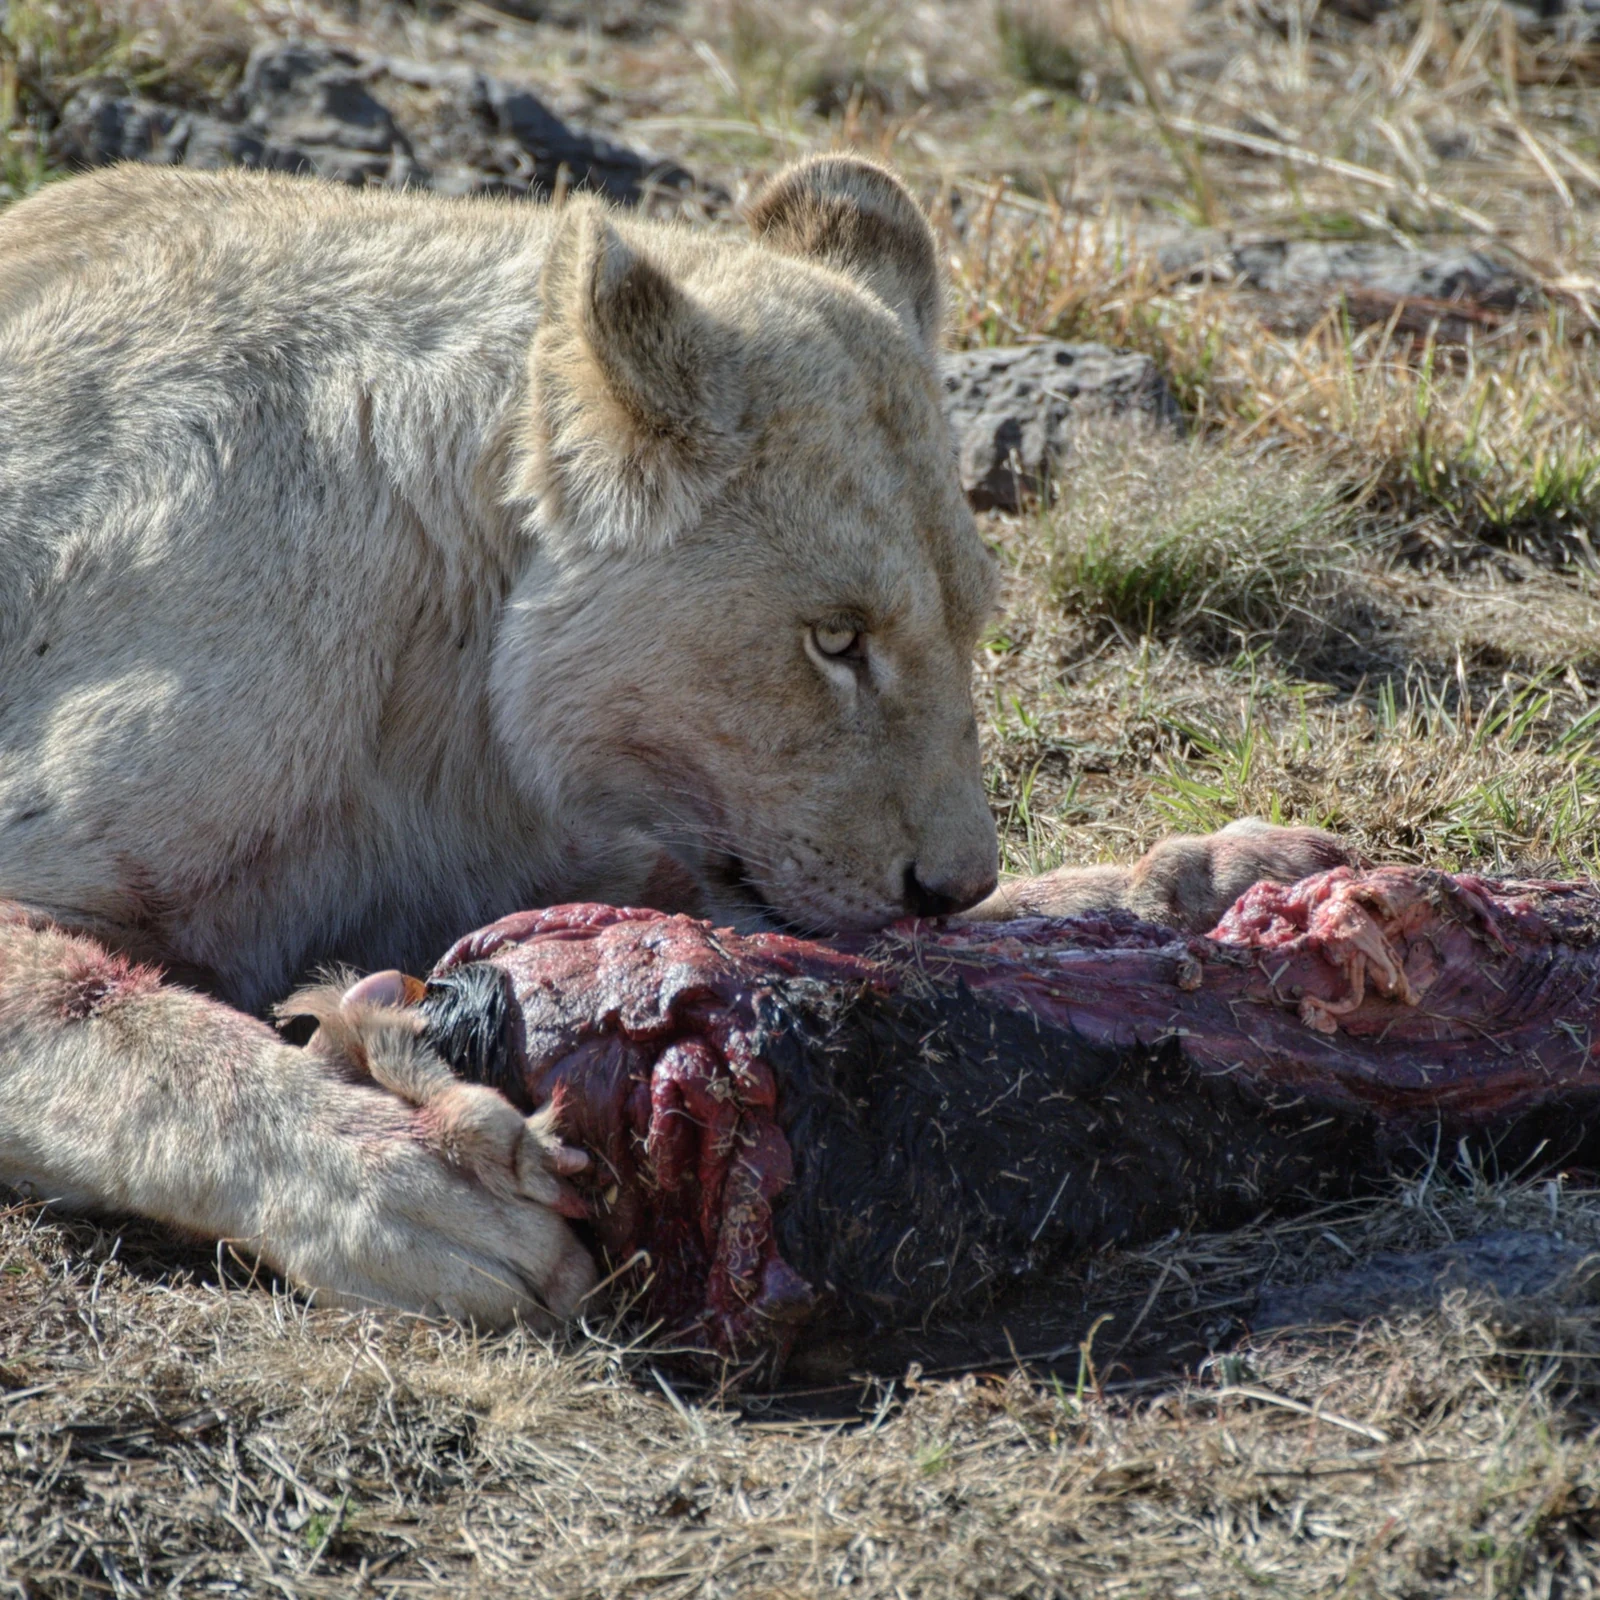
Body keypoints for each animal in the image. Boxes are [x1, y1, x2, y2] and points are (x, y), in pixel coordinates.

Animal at [0, 155, 1342, 1323]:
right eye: (835, 639)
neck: (452, 714)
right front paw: (414, 1185)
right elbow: (114, 1021)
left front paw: (1216, 876)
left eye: (971, 623)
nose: (952, 880)